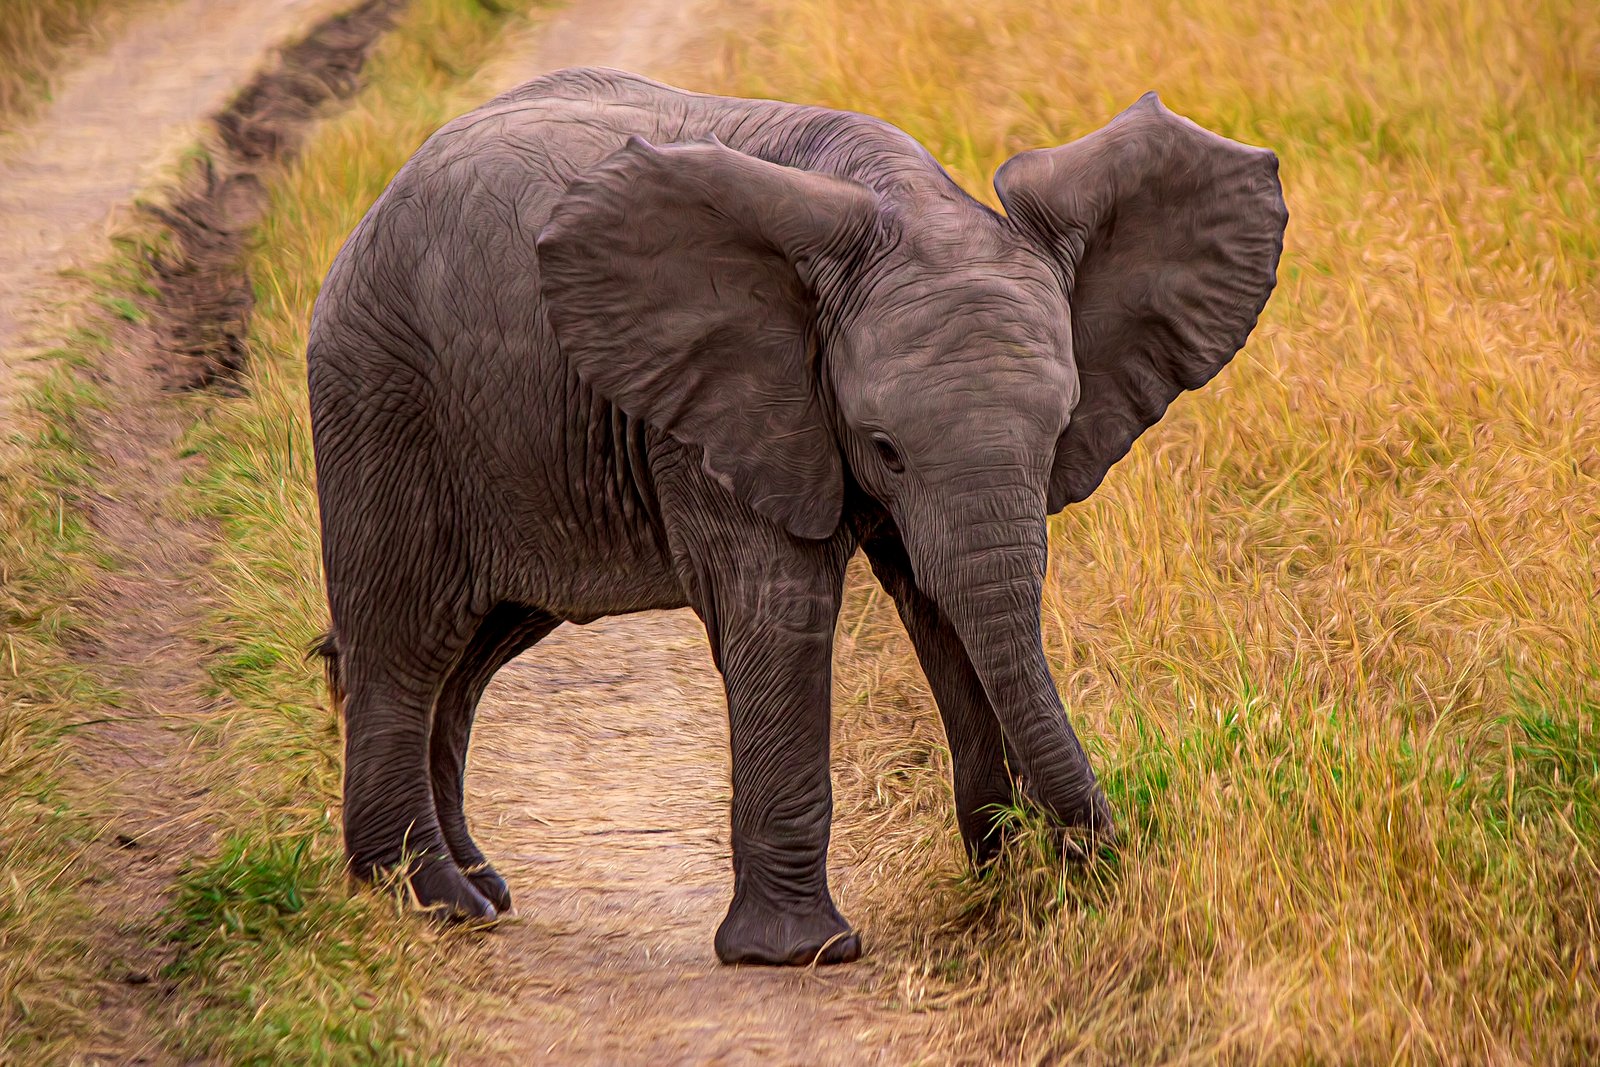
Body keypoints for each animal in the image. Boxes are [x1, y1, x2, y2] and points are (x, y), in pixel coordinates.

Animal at [307, 67, 1285, 966]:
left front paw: (1000, 880)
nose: (1089, 858)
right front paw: (801, 953)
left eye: (1057, 434)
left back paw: (478, 890)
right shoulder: (725, 407)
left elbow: (943, 607)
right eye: (885, 447)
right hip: (382, 390)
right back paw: (426, 902)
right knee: (403, 642)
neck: (899, 199)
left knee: (469, 658)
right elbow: (782, 612)